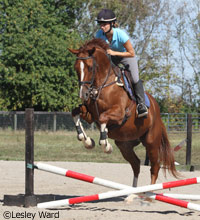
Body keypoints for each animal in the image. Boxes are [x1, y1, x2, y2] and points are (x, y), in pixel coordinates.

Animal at [69, 37, 178, 199]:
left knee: (155, 166)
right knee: (136, 164)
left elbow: (103, 119)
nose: (84, 94)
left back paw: (148, 194)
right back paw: (131, 194)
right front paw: (87, 141)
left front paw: (105, 145)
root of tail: (158, 114)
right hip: (125, 145)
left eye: (89, 67)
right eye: (76, 68)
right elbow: (75, 112)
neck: (102, 84)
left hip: (151, 142)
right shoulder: (89, 115)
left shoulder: (118, 114)